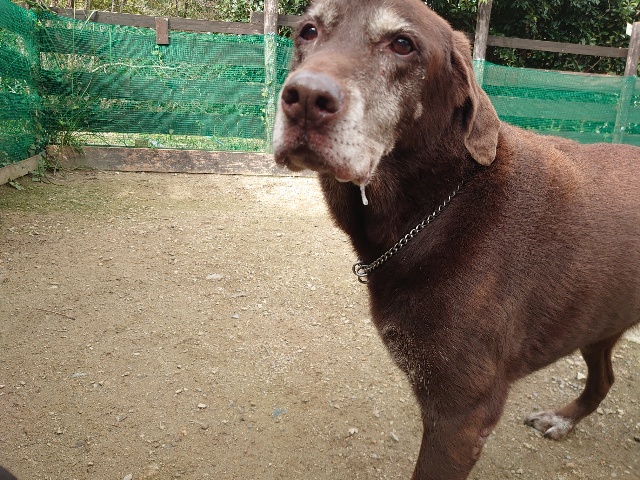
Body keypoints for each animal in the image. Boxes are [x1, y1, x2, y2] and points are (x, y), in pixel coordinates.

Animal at [272, 0, 640, 478]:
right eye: (308, 31)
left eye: (403, 44)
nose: (305, 99)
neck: (439, 208)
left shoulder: (461, 416)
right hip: (600, 321)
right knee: (604, 378)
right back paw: (563, 419)